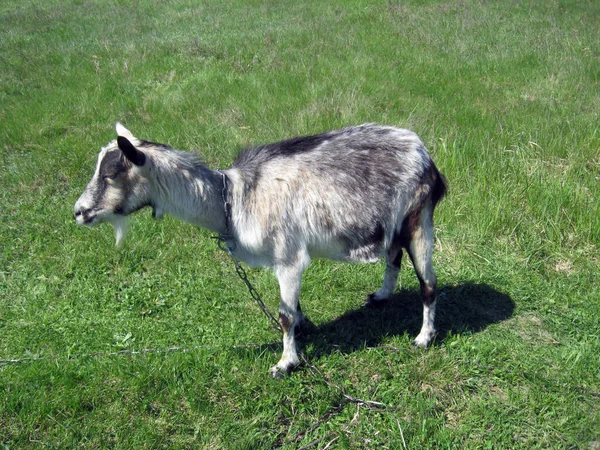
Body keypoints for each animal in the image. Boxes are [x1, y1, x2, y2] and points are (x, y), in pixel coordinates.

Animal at [74, 122, 446, 376]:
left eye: (110, 175)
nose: (79, 212)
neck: (231, 199)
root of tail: (424, 154)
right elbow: (293, 309)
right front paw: (303, 328)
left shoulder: (289, 257)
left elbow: (283, 315)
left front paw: (285, 363)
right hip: (393, 223)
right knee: (393, 255)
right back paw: (382, 295)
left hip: (419, 217)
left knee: (428, 284)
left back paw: (423, 338)